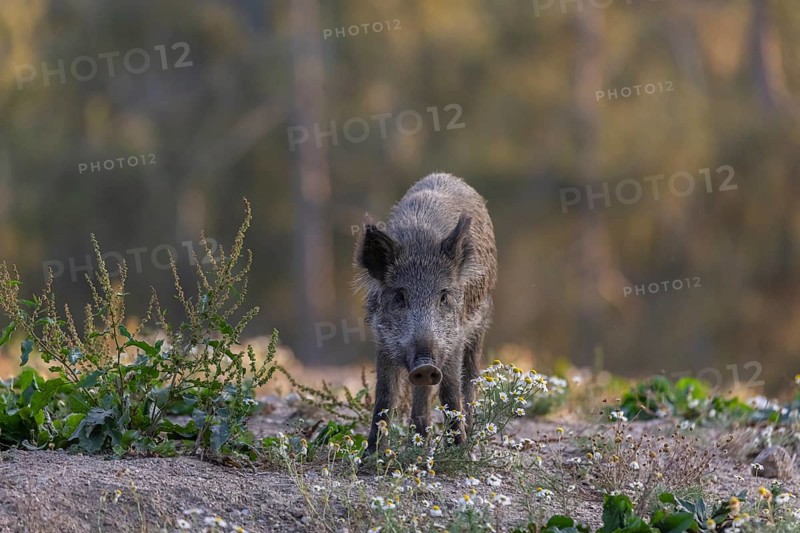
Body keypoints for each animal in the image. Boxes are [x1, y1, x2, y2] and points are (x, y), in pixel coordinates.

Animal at [354, 173, 497, 453]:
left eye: (443, 296)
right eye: (399, 296)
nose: (425, 366)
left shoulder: (454, 339)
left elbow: (450, 390)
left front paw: (459, 450)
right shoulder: (383, 339)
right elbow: (385, 395)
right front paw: (371, 455)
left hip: (481, 323)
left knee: (470, 377)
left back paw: (469, 434)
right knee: (421, 392)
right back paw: (419, 440)